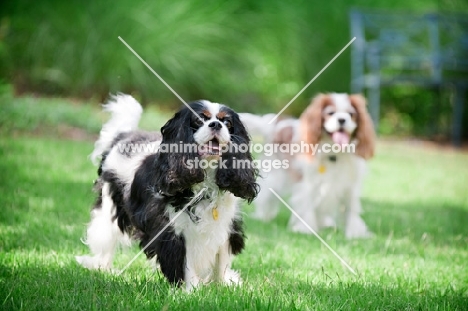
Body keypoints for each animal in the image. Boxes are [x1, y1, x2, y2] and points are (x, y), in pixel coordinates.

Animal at [77, 94, 260, 290]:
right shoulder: (174, 230)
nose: (216, 125)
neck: (206, 179)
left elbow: (222, 260)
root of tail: (123, 136)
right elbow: (185, 261)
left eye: (226, 122)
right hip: (108, 209)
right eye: (199, 120)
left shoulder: (226, 226)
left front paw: (225, 285)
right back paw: (101, 267)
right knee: (105, 239)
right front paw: (191, 290)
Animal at [241, 92, 376, 239]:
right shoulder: (308, 184)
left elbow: (351, 208)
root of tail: (276, 123)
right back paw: (264, 217)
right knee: (267, 195)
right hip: (275, 176)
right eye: (330, 113)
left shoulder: (349, 186)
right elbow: (308, 205)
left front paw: (354, 232)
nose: (342, 120)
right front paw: (306, 229)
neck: (333, 153)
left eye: (351, 114)